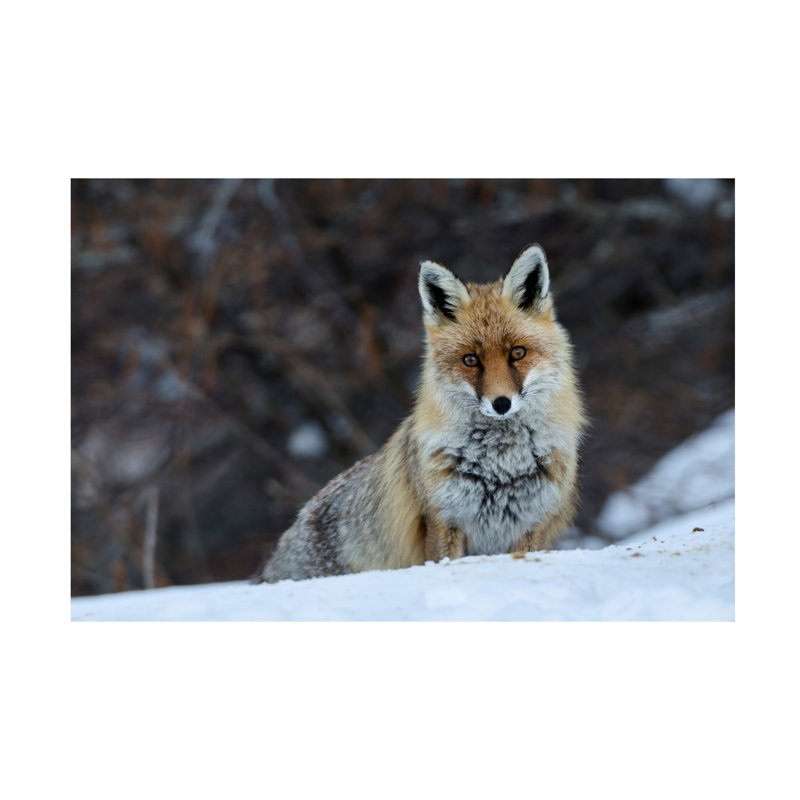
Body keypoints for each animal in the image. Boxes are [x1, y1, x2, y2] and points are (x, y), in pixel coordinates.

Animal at [253, 244, 586, 583]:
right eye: (470, 360)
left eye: (517, 353)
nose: (501, 403)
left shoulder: (534, 525)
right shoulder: (442, 519)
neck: (500, 465)